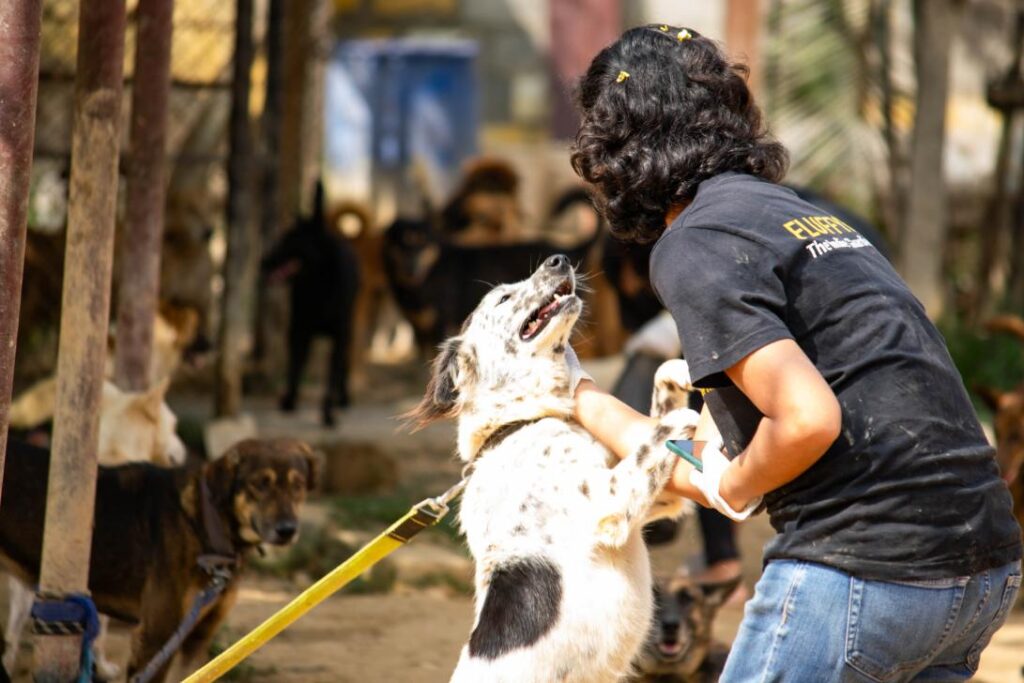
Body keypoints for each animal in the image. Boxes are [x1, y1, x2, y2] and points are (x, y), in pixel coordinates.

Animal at [0, 438, 317, 683]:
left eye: (298, 485)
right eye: (259, 484)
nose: (287, 530)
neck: (204, 521)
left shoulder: (198, 637)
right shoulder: (157, 636)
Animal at [262, 181, 362, 428]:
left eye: (289, 240)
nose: (263, 262)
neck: (319, 285)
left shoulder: (339, 335)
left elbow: (331, 377)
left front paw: (328, 413)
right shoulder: (298, 329)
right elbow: (294, 366)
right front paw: (289, 400)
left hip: (347, 330)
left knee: (343, 365)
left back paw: (343, 398)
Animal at [405, 253, 696, 679]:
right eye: (503, 297)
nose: (558, 259)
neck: (519, 423)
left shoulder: (657, 502)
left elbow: (658, 393)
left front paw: (677, 373)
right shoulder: (609, 504)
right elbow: (655, 435)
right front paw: (678, 419)